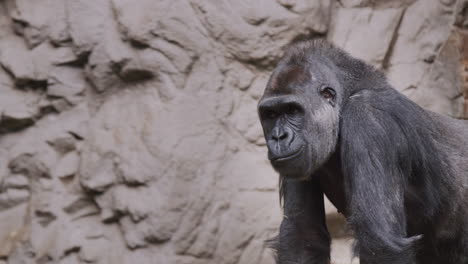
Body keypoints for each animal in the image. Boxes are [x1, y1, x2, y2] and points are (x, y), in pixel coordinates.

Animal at [258, 39, 468, 264]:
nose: (278, 136)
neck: (347, 98)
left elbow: (381, 244)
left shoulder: (367, 117)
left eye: (292, 111)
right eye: (270, 114)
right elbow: (303, 235)